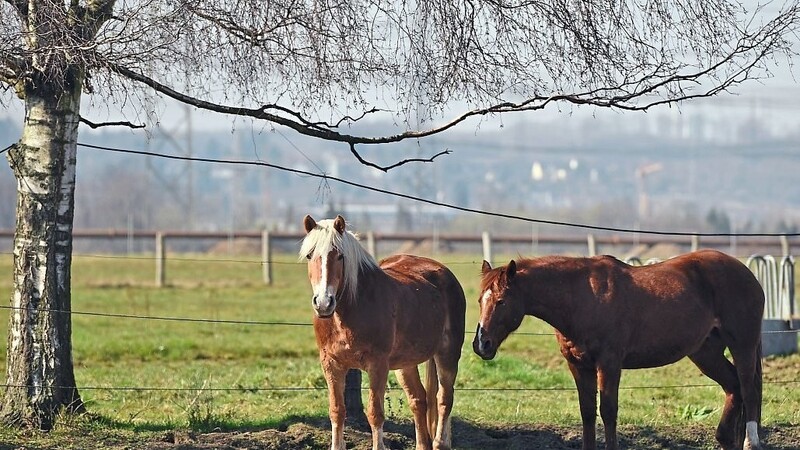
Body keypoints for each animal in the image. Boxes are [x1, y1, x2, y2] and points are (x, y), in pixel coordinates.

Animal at [300, 215, 466, 450]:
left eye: (340, 255)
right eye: (310, 255)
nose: (323, 303)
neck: (351, 307)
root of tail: (442, 271)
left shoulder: (377, 365)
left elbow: (375, 413)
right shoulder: (331, 364)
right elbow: (337, 411)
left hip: (447, 352)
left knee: (444, 398)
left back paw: (440, 442)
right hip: (405, 364)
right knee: (419, 399)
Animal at [472, 250, 764, 450]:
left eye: (501, 300)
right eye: (479, 301)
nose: (481, 344)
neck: (583, 298)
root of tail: (747, 274)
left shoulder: (609, 363)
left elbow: (608, 411)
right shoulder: (578, 365)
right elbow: (587, 411)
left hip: (743, 345)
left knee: (749, 390)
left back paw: (751, 442)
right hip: (706, 353)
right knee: (733, 387)